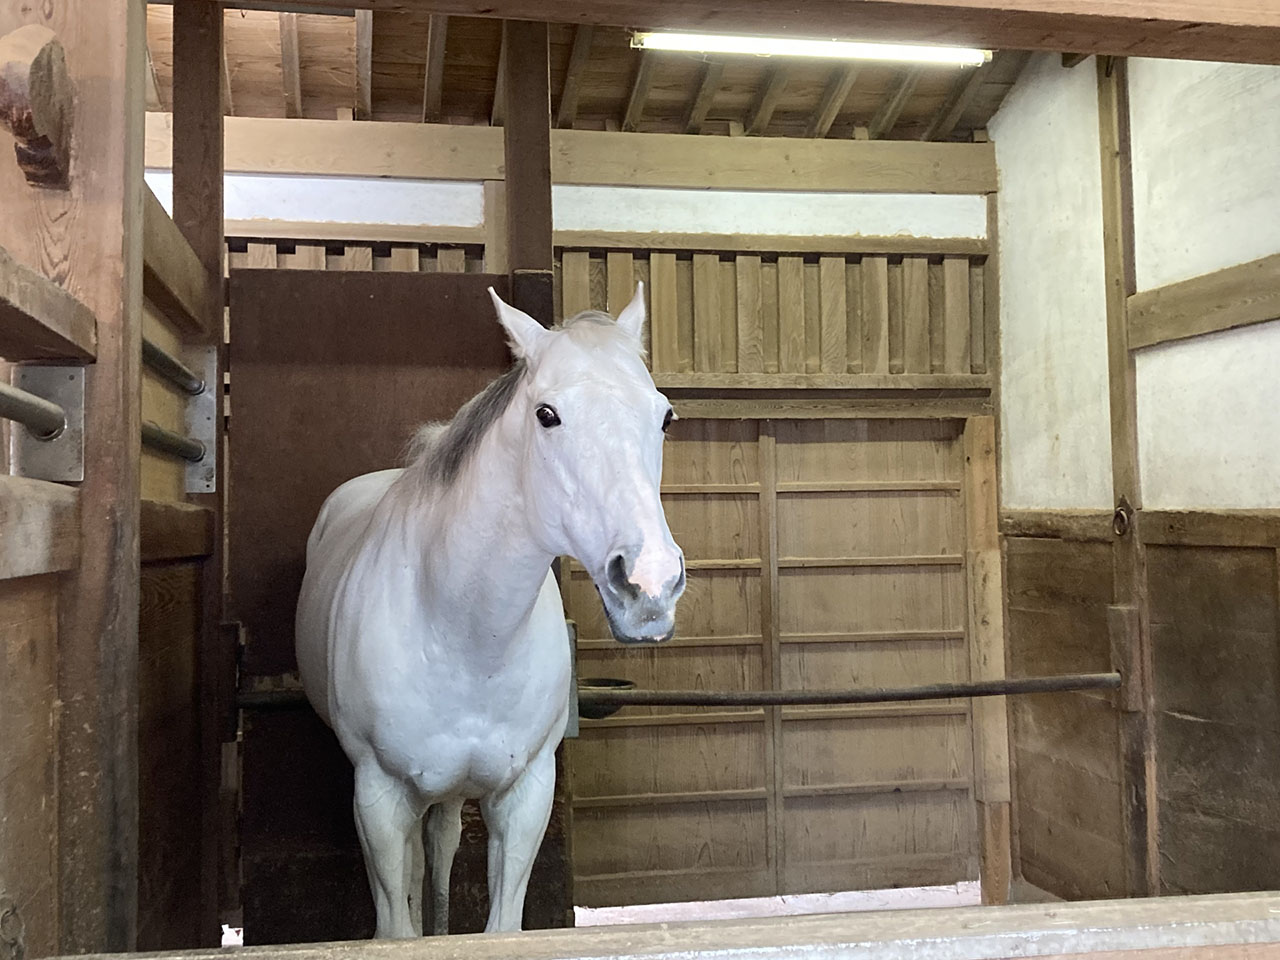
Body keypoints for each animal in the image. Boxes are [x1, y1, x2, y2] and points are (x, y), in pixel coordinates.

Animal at [294, 283, 685, 938]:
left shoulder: (526, 796)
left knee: (442, 842)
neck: (463, 633)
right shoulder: (379, 798)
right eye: (546, 415)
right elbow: (396, 926)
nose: (648, 585)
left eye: (664, 416)